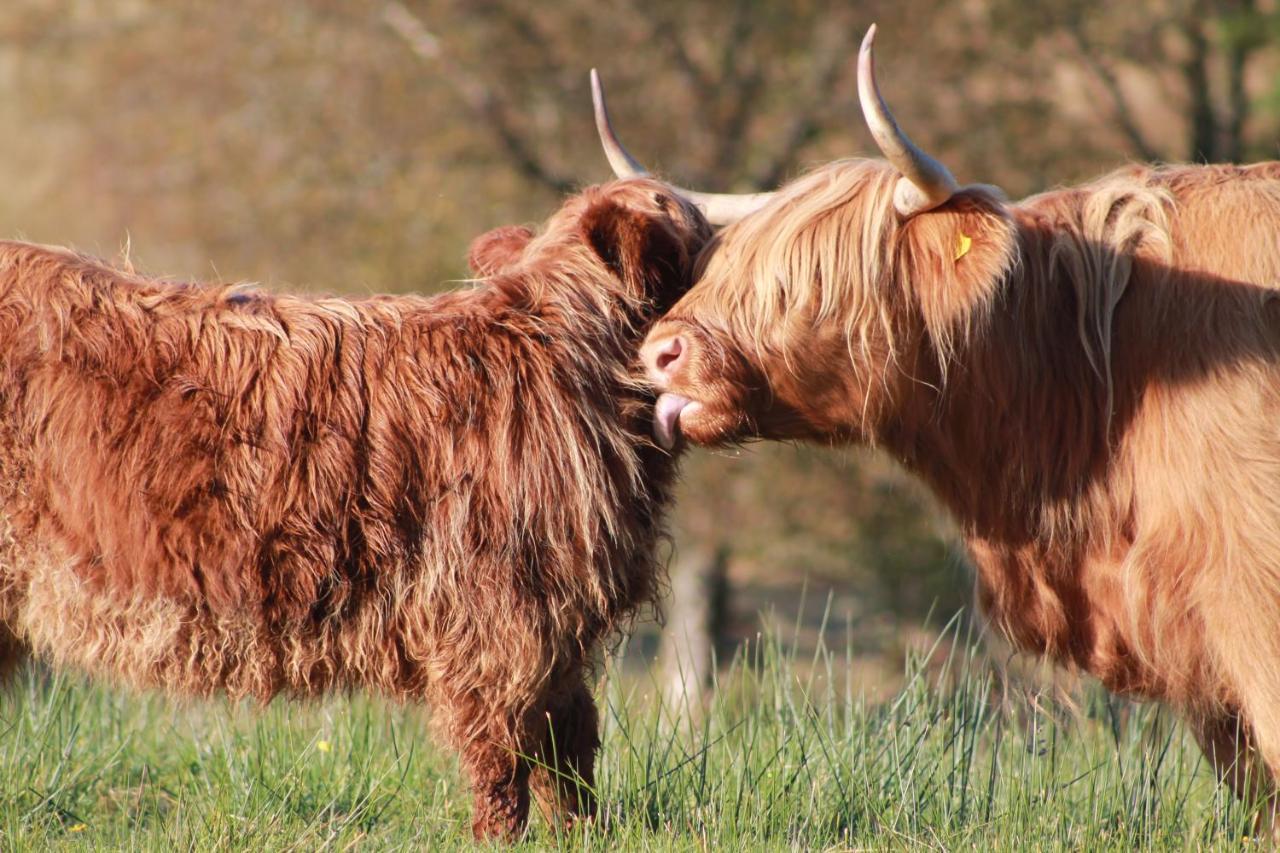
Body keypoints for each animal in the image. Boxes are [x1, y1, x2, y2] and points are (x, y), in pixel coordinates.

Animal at [0, 174, 711, 835]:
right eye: (697, 234)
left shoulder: (554, 626)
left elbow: (569, 745)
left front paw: (584, 831)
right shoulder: (502, 613)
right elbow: (504, 752)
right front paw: (498, 837)